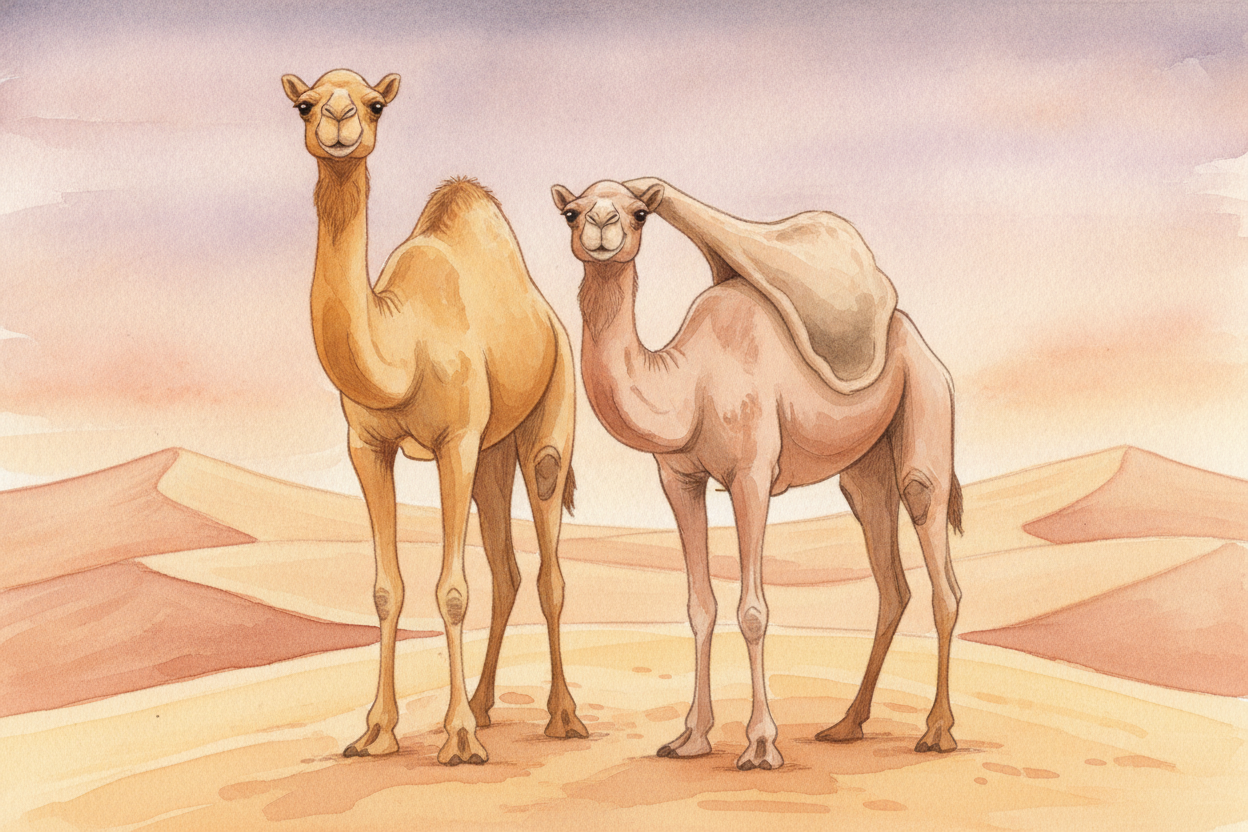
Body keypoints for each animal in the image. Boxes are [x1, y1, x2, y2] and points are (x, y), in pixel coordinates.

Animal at [282, 68, 586, 765]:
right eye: (304, 105)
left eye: (375, 105)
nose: (339, 122)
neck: (404, 343)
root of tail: (549, 316)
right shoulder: (367, 444)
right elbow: (385, 589)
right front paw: (376, 731)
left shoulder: (456, 440)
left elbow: (451, 591)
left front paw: (459, 740)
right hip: (494, 451)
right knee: (507, 570)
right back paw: (484, 703)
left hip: (548, 414)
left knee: (549, 568)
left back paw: (561, 717)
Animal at [551, 178, 963, 770]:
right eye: (570, 212)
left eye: (639, 213)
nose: (601, 226)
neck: (689, 381)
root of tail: (922, 346)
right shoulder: (679, 479)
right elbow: (700, 605)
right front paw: (689, 737)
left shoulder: (751, 475)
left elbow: (752, 610)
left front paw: (762, 745)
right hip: (866, 470)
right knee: (891, 581)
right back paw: (846, 725)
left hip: (926, 406)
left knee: (938, 563)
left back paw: (937, 731)